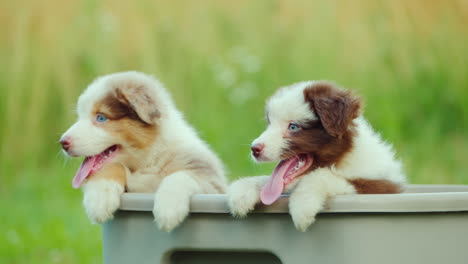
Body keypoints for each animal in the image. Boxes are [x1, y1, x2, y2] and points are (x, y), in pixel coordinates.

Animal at [60, 71, 227, 231]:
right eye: (79, 117)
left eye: (101, 118)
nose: (62, 143)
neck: (148, 160)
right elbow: (112, 167)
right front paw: (100, 199)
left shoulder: (212, 182)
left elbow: (181, 175)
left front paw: (168, 210)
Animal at [227, 80, 406, 231]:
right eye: (269, 124)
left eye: (293, 126)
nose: (254, 149)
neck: (340, 161)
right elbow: (267, 180)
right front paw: (242, 192)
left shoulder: (381, 186)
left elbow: (321, 175)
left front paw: (302, 207)